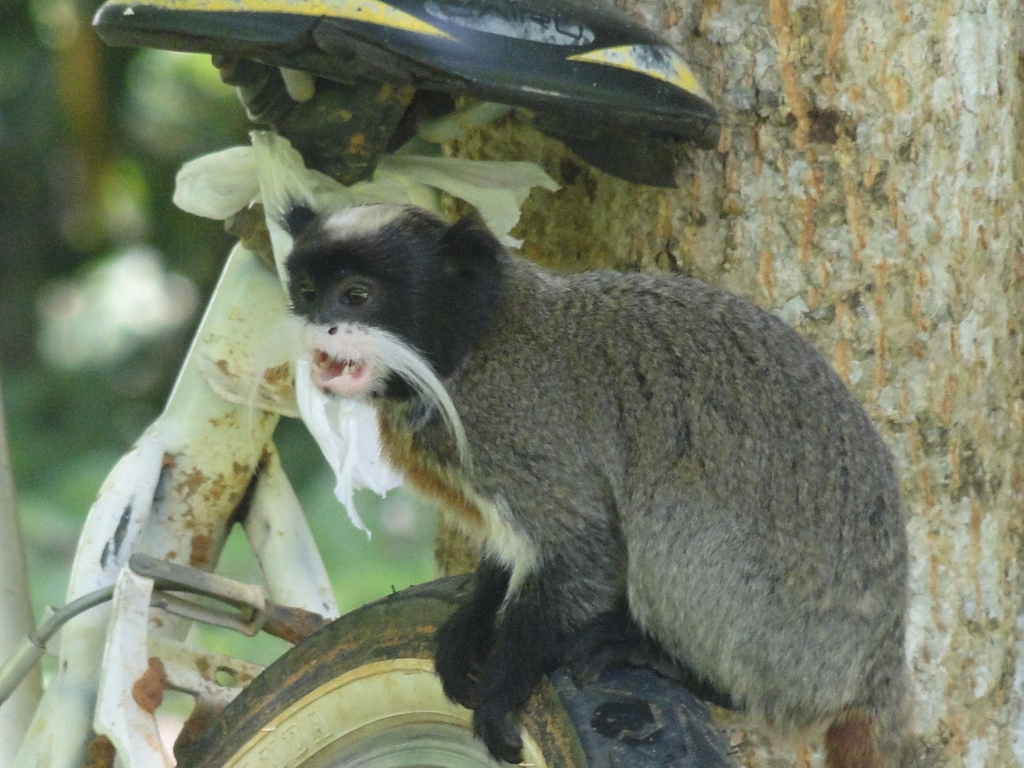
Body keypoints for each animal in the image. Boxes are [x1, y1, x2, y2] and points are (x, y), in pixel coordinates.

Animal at [284, 202, 909, 768]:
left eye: (357, 296)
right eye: (309, 293)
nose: (322, 327)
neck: (468, 348)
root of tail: (880, 662)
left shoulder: (515, 427)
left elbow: (582, 549)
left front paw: (502, 693)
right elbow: (509, 554)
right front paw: (472, 623)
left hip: (797, 648)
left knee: (672, 508)